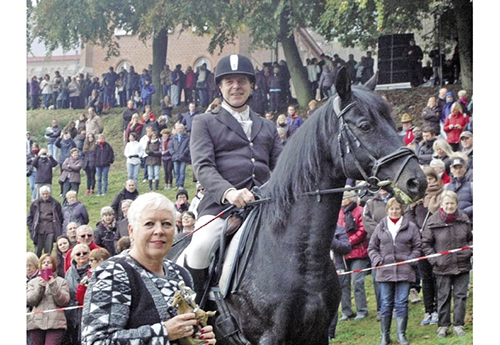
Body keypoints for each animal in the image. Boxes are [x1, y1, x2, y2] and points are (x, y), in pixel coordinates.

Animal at [173, 68, 426, 344]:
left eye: (392, 123)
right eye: (365, 126)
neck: (301, 257)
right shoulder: (269, 337)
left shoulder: (318, 333)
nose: (417, 181)